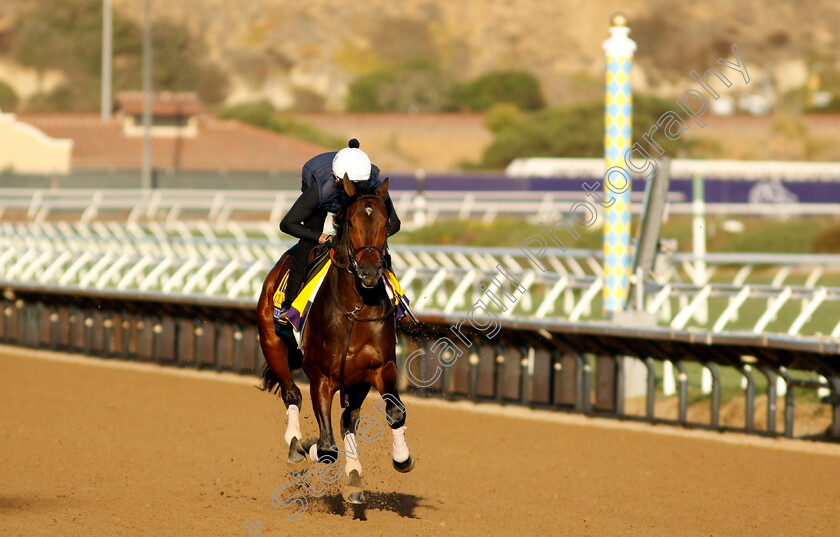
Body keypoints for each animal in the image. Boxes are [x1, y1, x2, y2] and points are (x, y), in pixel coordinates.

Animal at [254, 175, 416, 502]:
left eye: (385, 221)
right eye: (351, 222)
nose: (369, 271)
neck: (354, 309)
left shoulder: (379, 368)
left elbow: (393, 412)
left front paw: (401, 458)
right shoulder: (321, 377)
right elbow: (327, 449)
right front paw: (308, 445)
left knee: (347, 423)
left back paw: (353, 477)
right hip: (272, 344)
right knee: (292, 394)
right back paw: (296, 445)